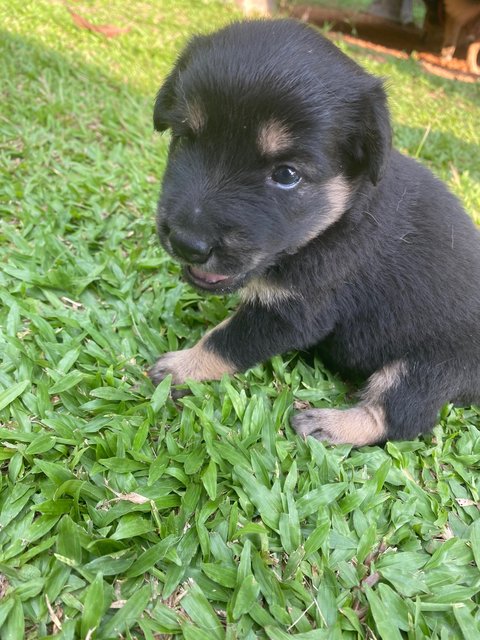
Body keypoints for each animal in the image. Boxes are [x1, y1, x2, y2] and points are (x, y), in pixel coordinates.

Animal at [149, 17, 480, 442]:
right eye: (184, 138)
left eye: (287, 175)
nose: (187, 243)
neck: (340, 218)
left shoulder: (295, 311)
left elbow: (225, 341)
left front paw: (181, 367)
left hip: (431, 366)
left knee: (400, 416)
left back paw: (330, 425)